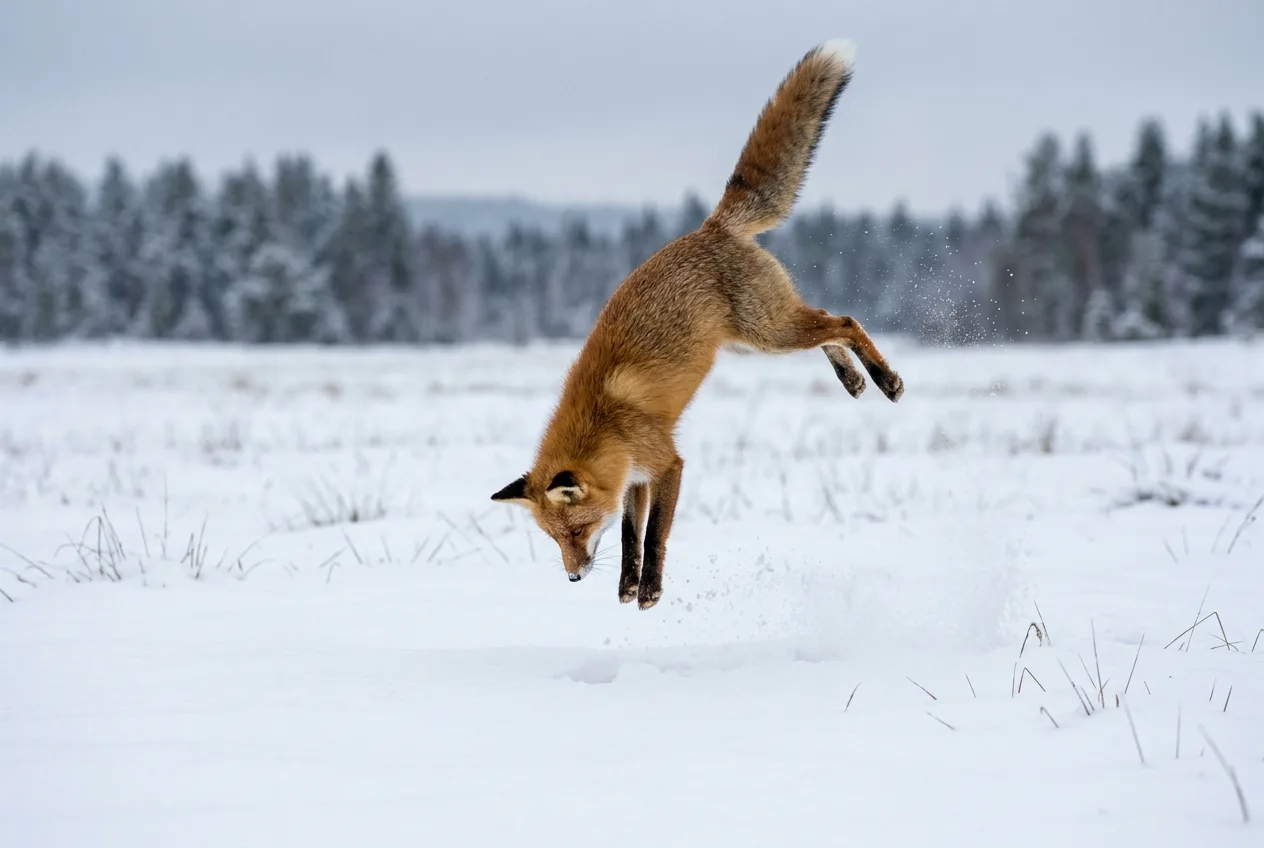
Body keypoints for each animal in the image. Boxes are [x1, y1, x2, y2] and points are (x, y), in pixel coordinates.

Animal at [491, 39, 904, 609]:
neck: (604, 423)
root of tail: (711, 227)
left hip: (769, 331)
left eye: (575, 531)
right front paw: (627, 587)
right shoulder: (635, 479)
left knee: (844, 319)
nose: (572, 578)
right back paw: (854, 380)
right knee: (829, 323)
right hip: (761, 339)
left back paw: (887, 381)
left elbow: (655, 533)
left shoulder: (666, 464)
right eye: (555, 540)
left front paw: (650, 590)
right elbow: (629, 534)